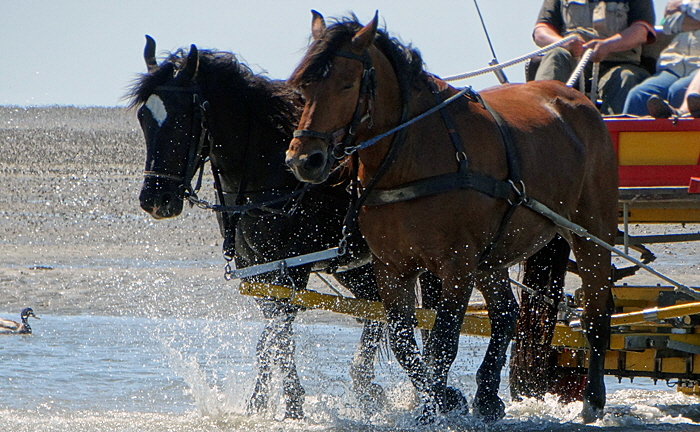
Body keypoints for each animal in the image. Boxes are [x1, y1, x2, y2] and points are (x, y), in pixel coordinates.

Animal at [130, 35, 394, 420]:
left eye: (183, 117)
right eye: (143, 117)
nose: (154, 199)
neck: (268, 172)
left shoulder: (292, 269)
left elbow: (279, 333)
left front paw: (292, 404)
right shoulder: (255, 267)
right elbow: (270, 336)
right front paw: (260, 402)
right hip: (356, 268)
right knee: (377, 313)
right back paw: (372, 391)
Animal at [284, 11, 616, 424]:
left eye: (346, 85)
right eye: (303, 87)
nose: (304, 159)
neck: (412, 153)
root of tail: (579, 101)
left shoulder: (456, 265)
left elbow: (442, 341)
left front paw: (438, 404)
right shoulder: (391, 267)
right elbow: (405, 342)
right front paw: (443, 398)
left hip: (591, 233)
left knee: (596, 314)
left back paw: (593, 399)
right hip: (492, 256)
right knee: (506, 314)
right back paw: (487, 396)